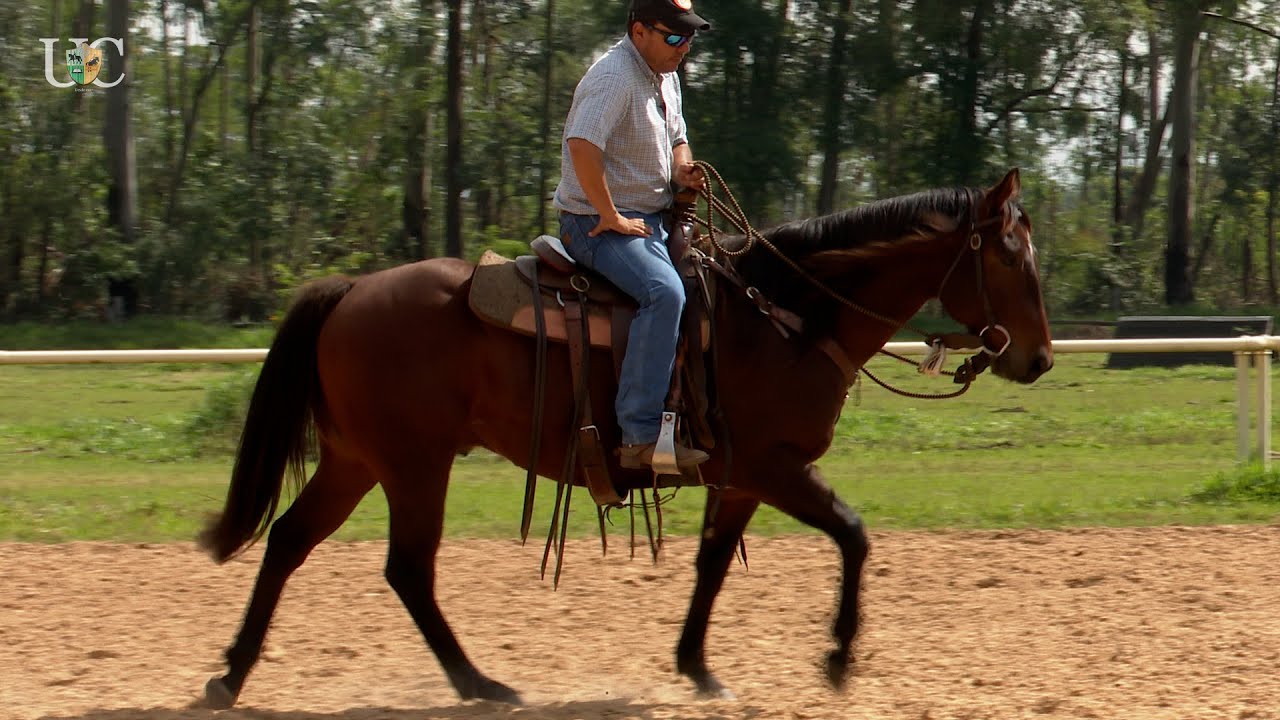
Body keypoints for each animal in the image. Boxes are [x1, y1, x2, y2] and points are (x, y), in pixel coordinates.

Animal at [198, 168, 1052, 707]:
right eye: (1013, 256)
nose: (1039, 358)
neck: (784, 317)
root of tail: (350, 291)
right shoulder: (775, 467)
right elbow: (853, 533)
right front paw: (839, 658)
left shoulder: (739, 479)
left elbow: (712, 565)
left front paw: (698, 669)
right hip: (413, 463)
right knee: (407, 569)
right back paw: (482, 686)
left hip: (355, 460)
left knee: (288, 541)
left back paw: (229, 678)